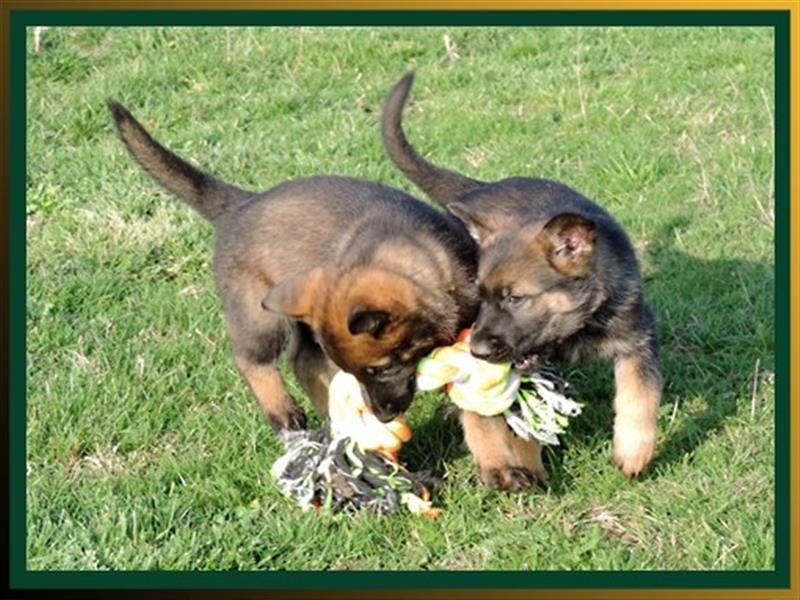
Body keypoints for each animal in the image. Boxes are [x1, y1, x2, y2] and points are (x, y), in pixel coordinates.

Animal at [109, 102, 478, 432]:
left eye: (382, 369)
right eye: (369, 371)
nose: (383, 417)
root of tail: (238, 205)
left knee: (302, 360)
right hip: (259, 315)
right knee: (251, 357)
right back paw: (282, 411)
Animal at [382, 74, 664, 488]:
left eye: (515, 298)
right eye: (484, 296)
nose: (479, 350)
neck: (578, 329)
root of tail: (479, 188)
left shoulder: (636, 341)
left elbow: (639, 397)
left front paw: (633, 453)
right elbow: (510, 422)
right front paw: (520, 465)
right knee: (475, 408)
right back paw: (496, 463)